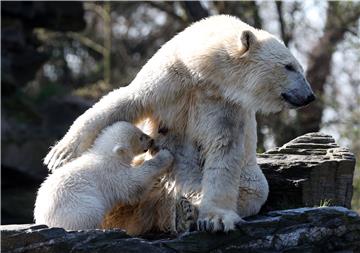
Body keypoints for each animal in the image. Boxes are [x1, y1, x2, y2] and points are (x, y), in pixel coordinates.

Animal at [45, 15, 316, 233]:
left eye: (298, 66)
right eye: (289, 66)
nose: (310, 96)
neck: (202, 72)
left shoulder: (227, 104)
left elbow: (224, 150)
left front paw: (215, 219)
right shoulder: (171, 78)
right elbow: (125, 102)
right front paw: (60, 154)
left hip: (240, 176)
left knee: (253, 189)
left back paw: (184, 212)